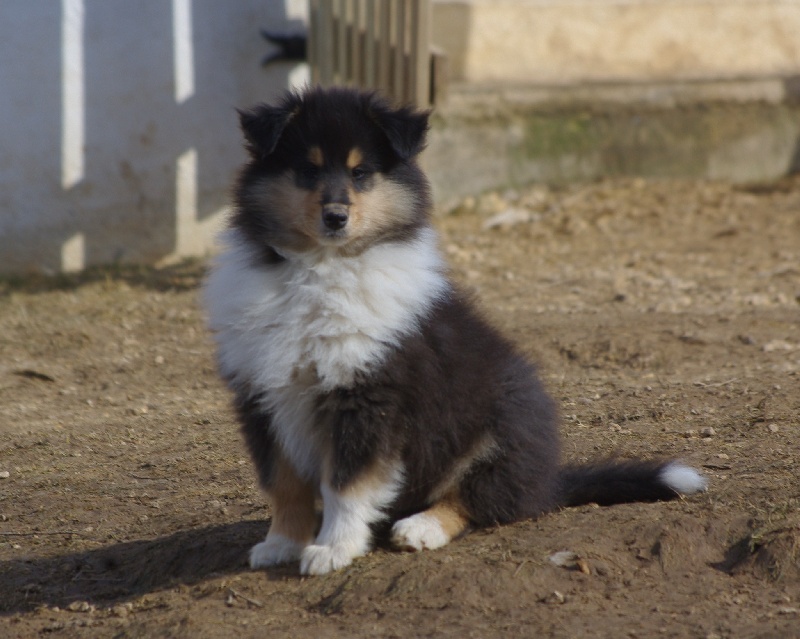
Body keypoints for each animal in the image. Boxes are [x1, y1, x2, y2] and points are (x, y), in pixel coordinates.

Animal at [205, 87, 708, 576]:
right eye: (307, 170)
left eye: (361, 173)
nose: (335, 217)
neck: (320, 268)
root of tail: (549, 480)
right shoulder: (262, 395)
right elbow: (283, 484)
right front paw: (282, 544)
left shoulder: (368, 396)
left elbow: (345, 485)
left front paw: (333, 549)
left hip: (501, 428)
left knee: (479, 498)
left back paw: (420, 527)